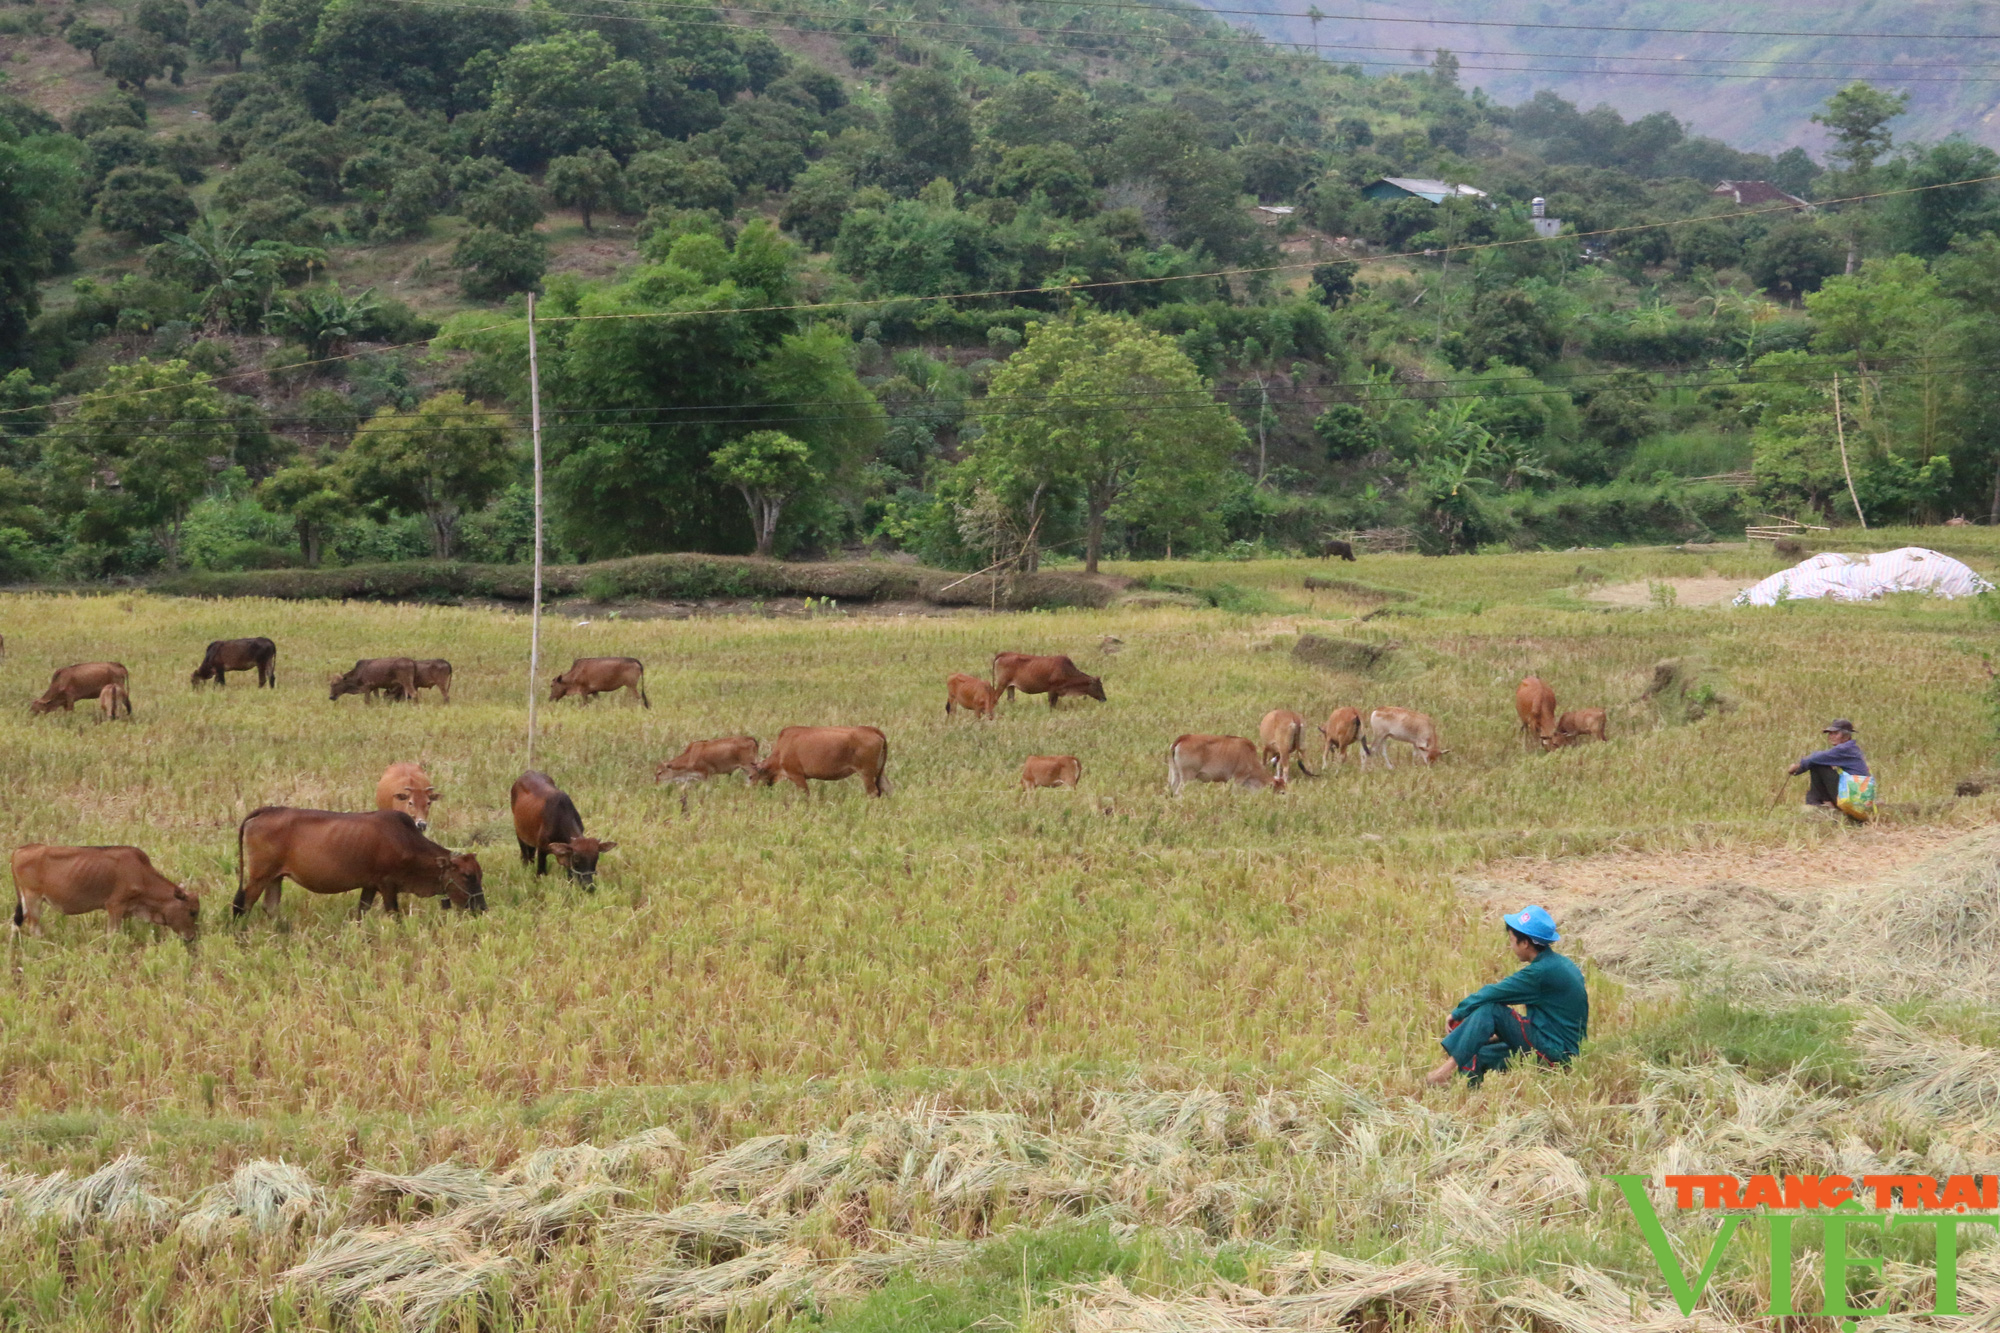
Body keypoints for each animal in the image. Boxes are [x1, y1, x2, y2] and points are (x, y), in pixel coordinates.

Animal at [11, 844, 199, 940]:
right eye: (192, 911)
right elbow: (112, 934)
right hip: (33, 899)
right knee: (34, 927)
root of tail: (20, 850)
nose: (191, 937)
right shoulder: (115, 907)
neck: (143, 874)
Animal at [232, 804, 482, 920]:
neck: (407, 842)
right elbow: (395, 915)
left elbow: (361, 912)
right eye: (467, 876)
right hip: (259, 876)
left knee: (270, 907)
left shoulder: (369, 885)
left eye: (479, 875)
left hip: (275, 877)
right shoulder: (387, 885)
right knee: (242, 905)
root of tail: (268, 810)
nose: (482, 908)